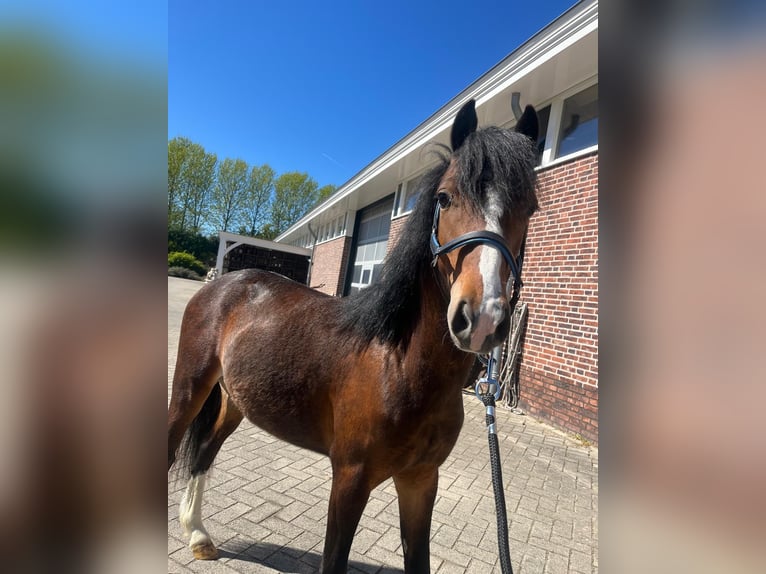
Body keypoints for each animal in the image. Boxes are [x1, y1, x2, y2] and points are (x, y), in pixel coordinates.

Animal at [168, 99, 539, 573]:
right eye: (444, 197)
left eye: (531, 208)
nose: (483, 317)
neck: (398, 365)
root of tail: (223, 282)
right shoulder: (349, 479)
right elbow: (334, 559)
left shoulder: (421, 481)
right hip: (188, 389)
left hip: (235, 402)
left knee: (203, 451)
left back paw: (198, 535)